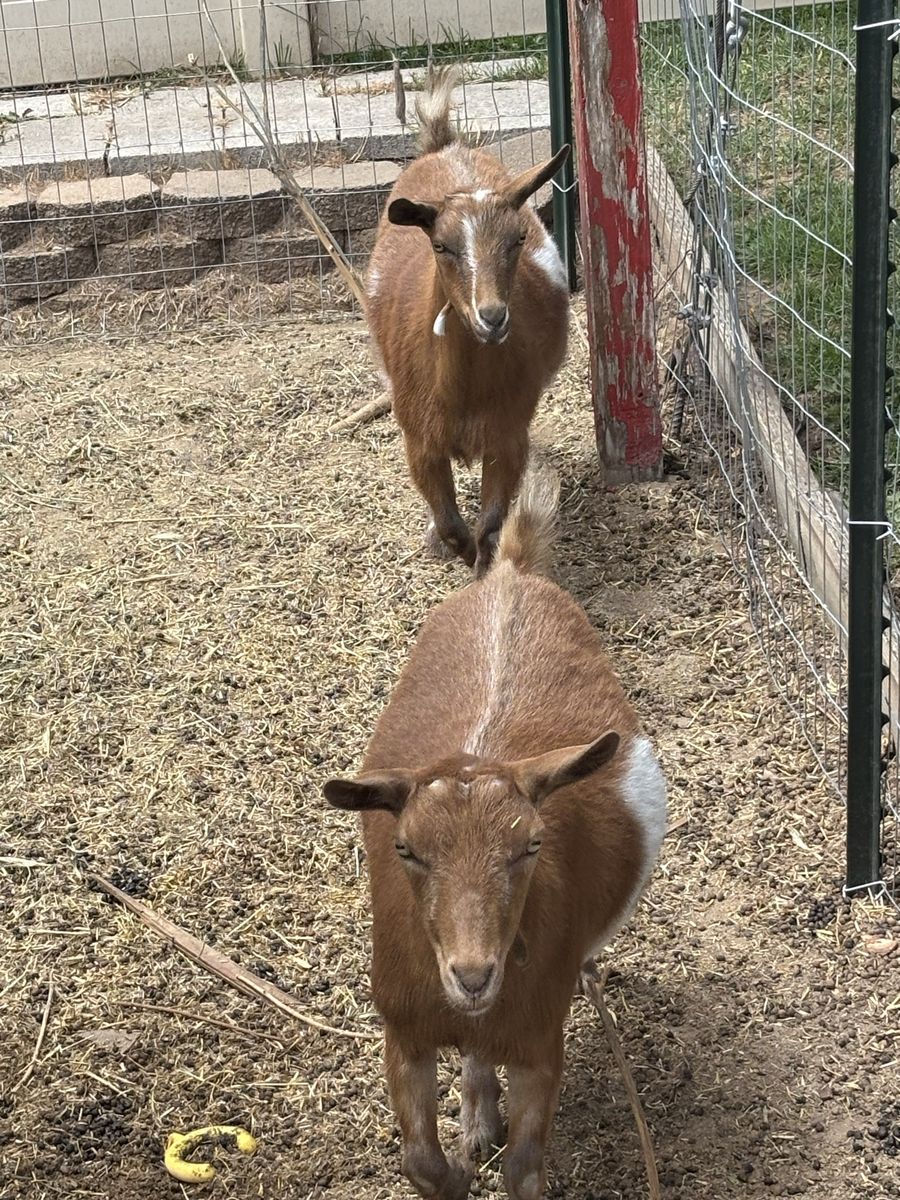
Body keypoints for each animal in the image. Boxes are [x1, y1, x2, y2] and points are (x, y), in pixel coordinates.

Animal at [324, 469, 667, 1200]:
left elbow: (526, 1168)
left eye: (531, 846)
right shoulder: (404, 1032)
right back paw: (478, 1120)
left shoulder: (541, 1042)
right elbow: (420, 1161)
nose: (474, 974)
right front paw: (457, 1165)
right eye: (405, 849)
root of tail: (510, 574)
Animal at [365, 69, 571, 578]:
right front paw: (448, 545)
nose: (492, 317)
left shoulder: (508, 436)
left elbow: (490, 528)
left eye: (518, 238)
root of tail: (446, 145)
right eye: (440, 246)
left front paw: (486, 572)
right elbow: (451, 524)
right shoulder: (419, 441)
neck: (462, 392)